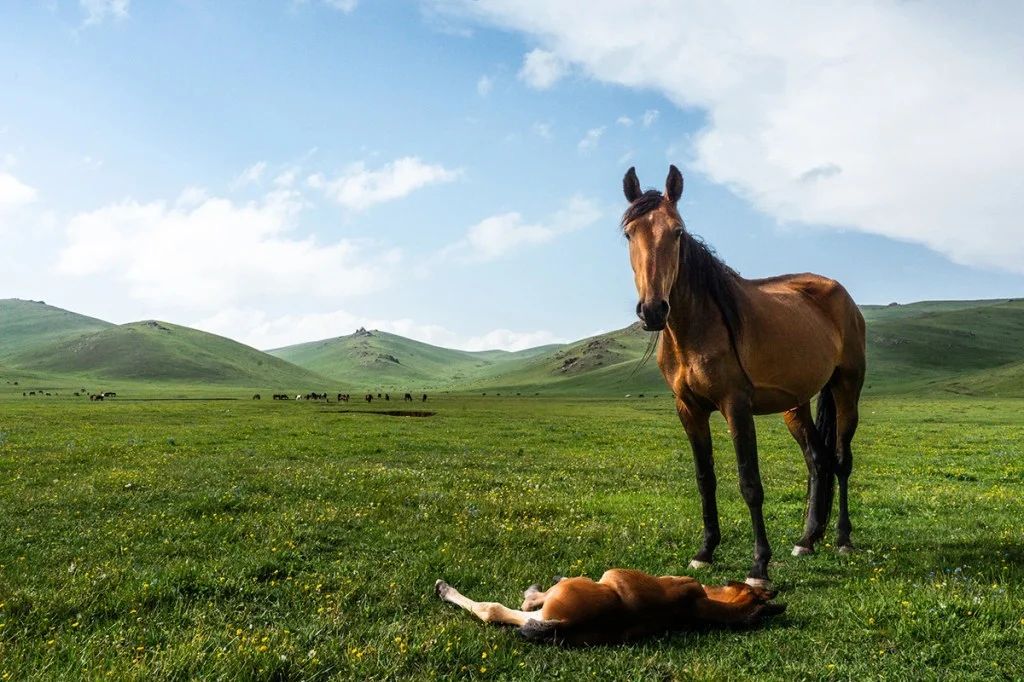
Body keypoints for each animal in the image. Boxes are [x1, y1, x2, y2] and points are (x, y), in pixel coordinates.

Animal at [621, 165, 866, 587]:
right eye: (629, 233)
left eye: (678, 232)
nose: (653, 310)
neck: (695, 327)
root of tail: (842, 295)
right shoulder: (688, 409)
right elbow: (705, 479)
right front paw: (704, 552)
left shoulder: (736, 406)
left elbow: (750, 483)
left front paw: (759, 567)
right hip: (795, 404)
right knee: (818, 460)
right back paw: (807, 540)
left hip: (847, 388)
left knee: (840, 460)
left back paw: (842, 539)